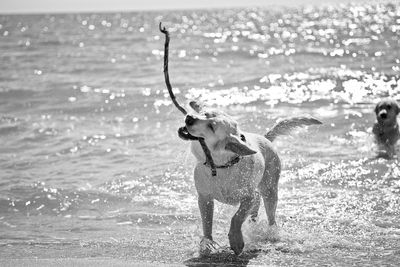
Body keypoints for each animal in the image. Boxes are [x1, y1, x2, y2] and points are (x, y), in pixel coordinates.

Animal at [181, 101, 322, 256]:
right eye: (204, 114)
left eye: (211, 126)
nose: (189, 117)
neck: (220, 166)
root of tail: (264, 137)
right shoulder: (204, 198)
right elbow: (207, 222)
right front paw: (207, 244)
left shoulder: (248, 197)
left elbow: (236, 218)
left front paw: (236, 241)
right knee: (255, 210)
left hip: (270, 190)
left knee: (271, 216)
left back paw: (271, 234)